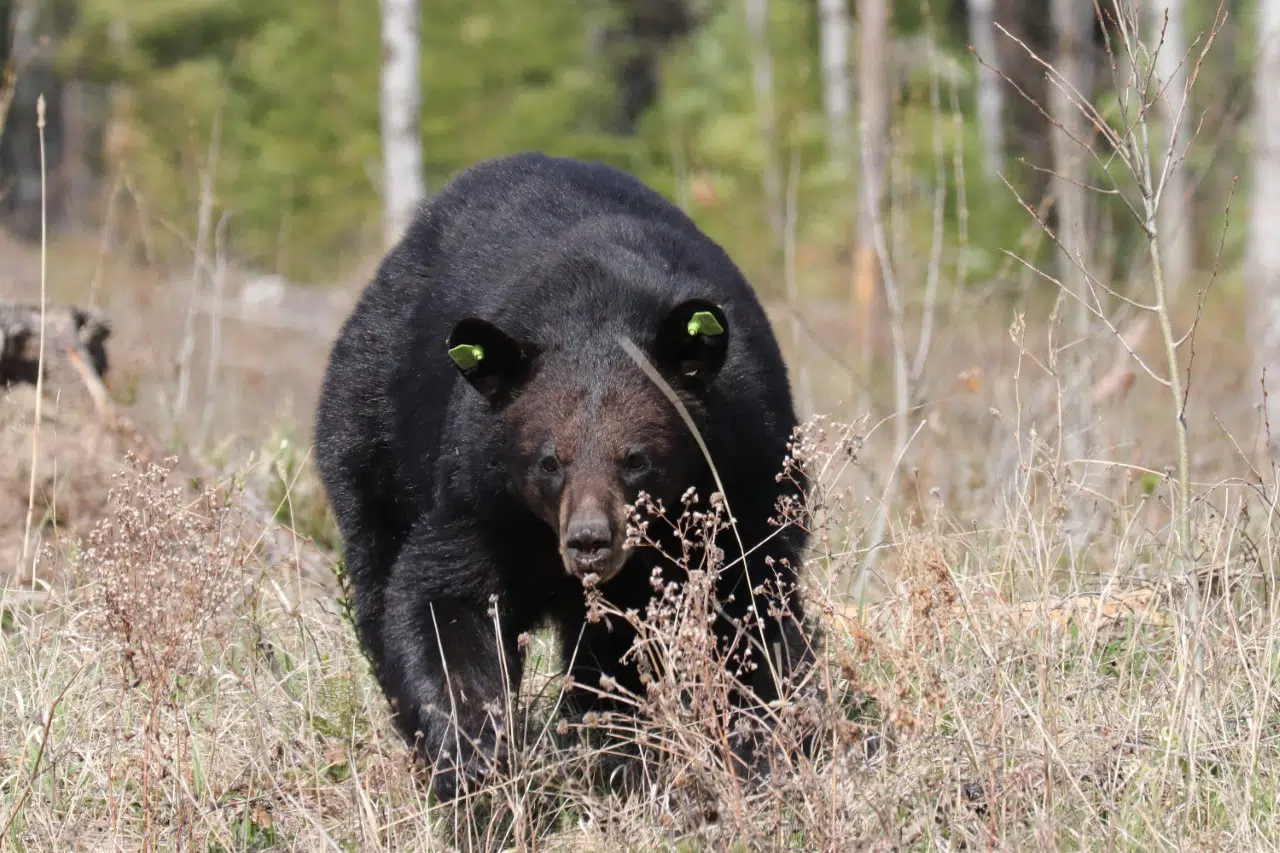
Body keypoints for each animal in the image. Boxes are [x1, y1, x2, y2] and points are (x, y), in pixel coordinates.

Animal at [311, 151, 808, 799]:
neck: (598, 307)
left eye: (636, 458)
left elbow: (750, 603)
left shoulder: (747, 470)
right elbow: (444, 597)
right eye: (549, 461)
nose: (590, 541)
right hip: (372, 423)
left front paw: (757, 754)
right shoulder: (479, 490)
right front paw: (475, 755)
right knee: (377, 562)